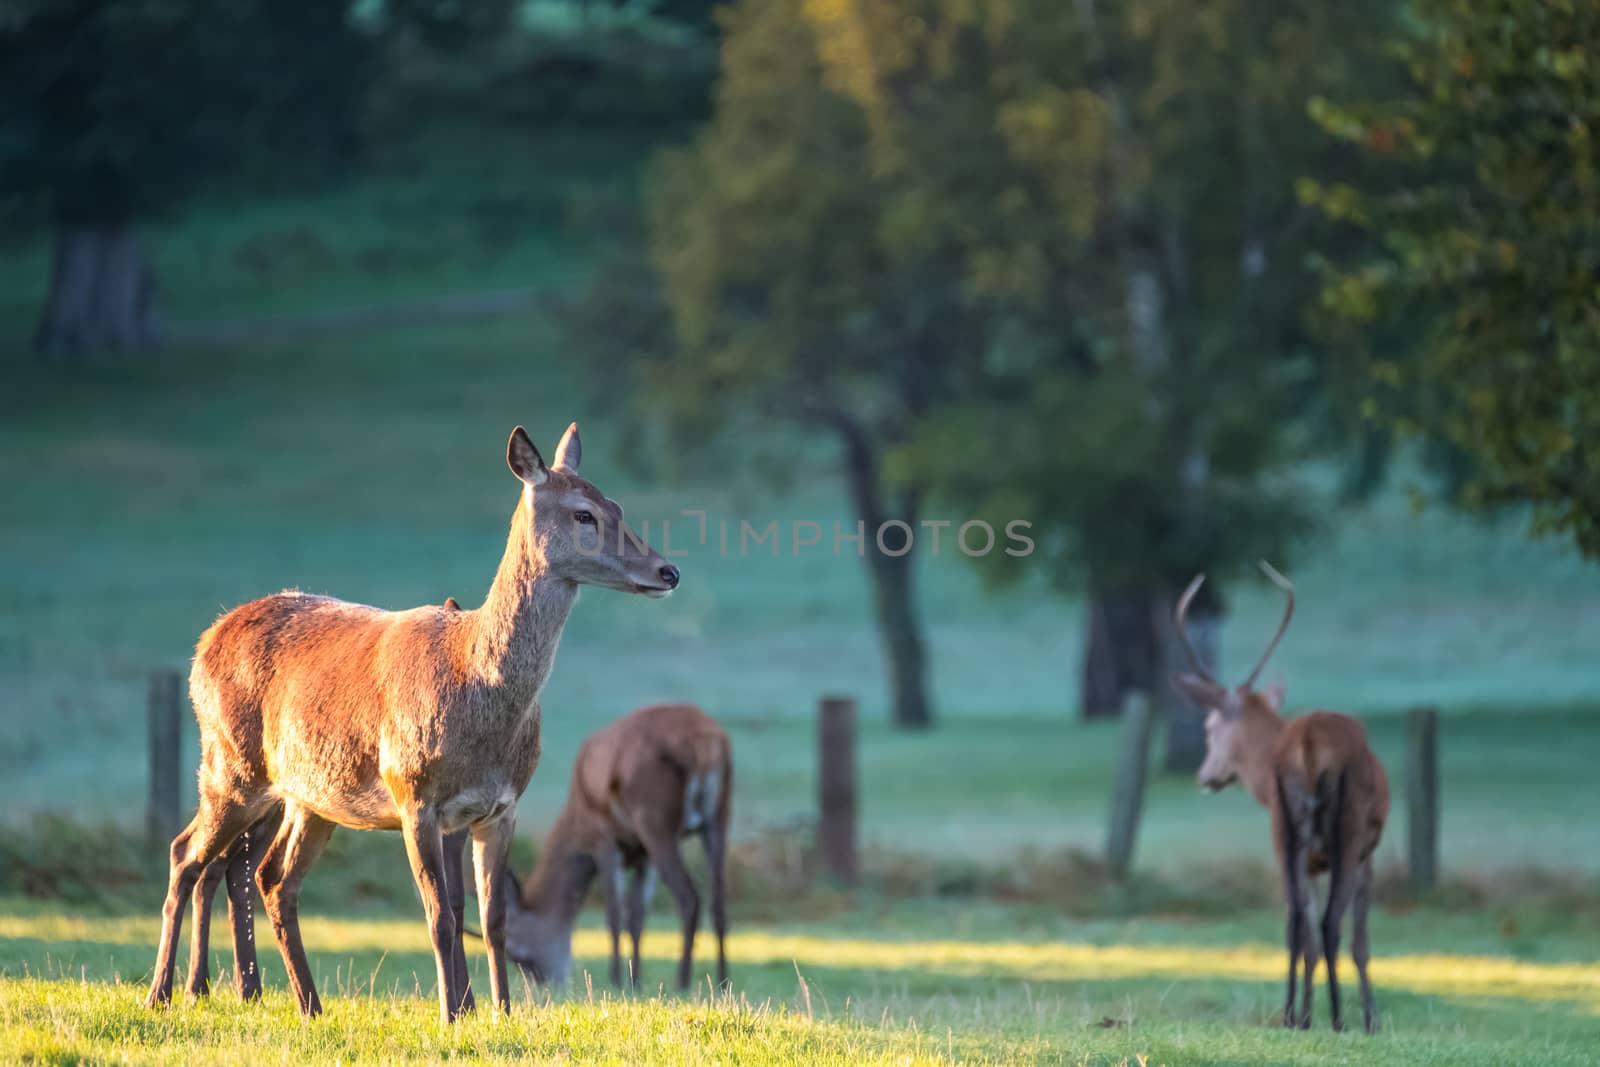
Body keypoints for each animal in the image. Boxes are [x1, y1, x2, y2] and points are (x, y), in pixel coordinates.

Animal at [144, 422, 681, 1023]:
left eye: (617, 505)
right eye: (583, 514)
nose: (668, 571)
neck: (477, 685)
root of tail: (206, 642)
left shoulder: (498, 807)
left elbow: (490, 920)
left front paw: (498, 1011)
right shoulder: (414, 794)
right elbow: (440, 915)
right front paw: (451, 1014)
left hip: (307, 796)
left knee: (266, 877)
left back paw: (297, 1001)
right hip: (229, 764)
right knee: (186, 855)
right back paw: (164, 992)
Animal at [496, 703, 732, 998]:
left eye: (517, 953)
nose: (545, 985)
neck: (578, 821)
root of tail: (706, 741)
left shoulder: (604, 837)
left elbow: (615, 912)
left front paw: (617, 979)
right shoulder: (642, 854)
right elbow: (637, 916)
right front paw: (635, 980)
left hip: (655, 818)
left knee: (689, 897)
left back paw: (684, 981)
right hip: (719, 814)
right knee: (720, 902)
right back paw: (723, 981)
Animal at [1177, 559, 1388, 1036]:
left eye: (1208, 728)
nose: (1204, 775)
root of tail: (1307, 743)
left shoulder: (1309, 856)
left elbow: (1306, 932)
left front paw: (1305, 1013)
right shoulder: (1367, 856)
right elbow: (1360, 941)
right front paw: (1369, 1018)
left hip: (1284, 831)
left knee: (1296, 922)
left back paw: (1295, 1016)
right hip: (1346, 827)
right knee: (1328, 922)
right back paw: (1337, 1019)